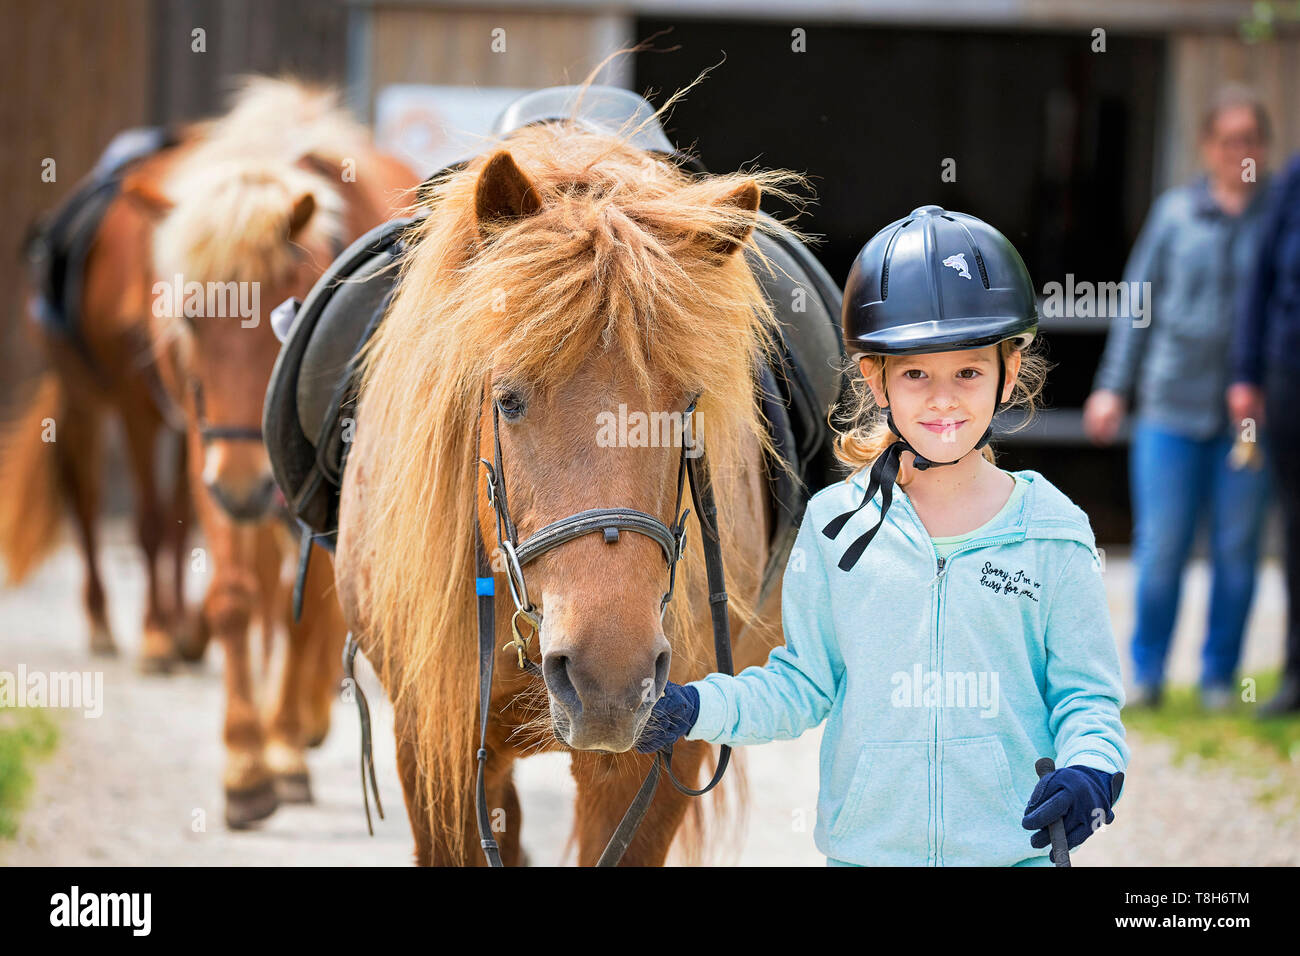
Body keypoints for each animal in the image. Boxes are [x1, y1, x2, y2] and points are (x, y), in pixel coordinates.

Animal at [131, 78, 416, 827]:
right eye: (190, 319)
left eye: (275, 319)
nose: (242, 488)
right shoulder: (208, 455)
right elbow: (235, 597)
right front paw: (244, 763)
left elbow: (313, 601)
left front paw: (283, 747)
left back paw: (303, 722)